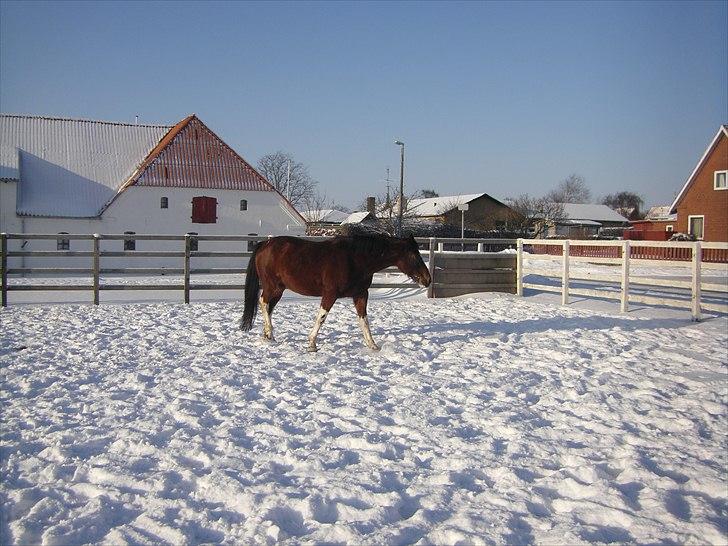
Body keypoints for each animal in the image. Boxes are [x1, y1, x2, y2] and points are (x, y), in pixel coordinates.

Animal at [239, 232, 432, 350]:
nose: (427, 279)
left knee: (269, 308)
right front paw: (312, 344)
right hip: (272, 287)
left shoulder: (361, 294)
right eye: (414, 255)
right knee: (263, 303)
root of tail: (265, 244)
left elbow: (364, 320)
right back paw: (269, 332)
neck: (355, 259)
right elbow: (321, 317)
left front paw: (372, 345)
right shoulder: (330, 294)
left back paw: (268, 335)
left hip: (278, 289)